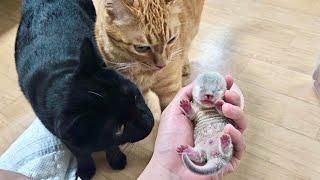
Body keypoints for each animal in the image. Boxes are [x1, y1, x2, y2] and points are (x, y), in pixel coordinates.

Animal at [14, 0, 154, 179]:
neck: (62, 80)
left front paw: (116, 160)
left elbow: (111, 146)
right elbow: (80, 152)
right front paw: (86, 169)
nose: (149, 123)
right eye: (119, 129)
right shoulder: (63, 135)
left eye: (134, 96)